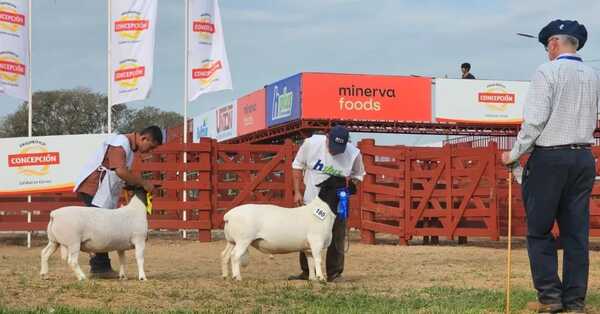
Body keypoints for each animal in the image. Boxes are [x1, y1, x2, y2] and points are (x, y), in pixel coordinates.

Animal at [220, 175, 352, 280]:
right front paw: (321, 278)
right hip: (243, 240)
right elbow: (318, 260)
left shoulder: (308, 248)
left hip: (231, 240)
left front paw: (312, 278)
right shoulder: (316, 242)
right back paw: (237, 277)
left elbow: (310, 262)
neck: (324, 209)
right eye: (340, 180)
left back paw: (225, 275)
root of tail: (228, 215)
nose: (353, 184)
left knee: (225, 255)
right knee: (235, 256)